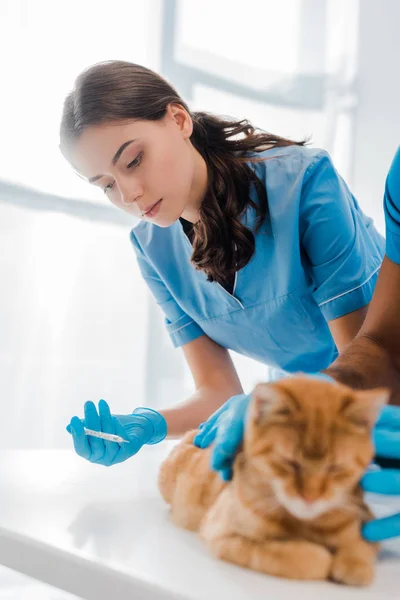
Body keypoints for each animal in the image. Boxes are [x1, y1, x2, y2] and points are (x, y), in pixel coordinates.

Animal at [158, 378, 390, 584]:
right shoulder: (225, 537)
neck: (305, 523)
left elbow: (358, 545)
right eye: (290, 463)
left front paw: (353, 564)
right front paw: (321, 557)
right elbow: (300, 557)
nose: (310, 497)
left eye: (335, 468)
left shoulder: (366, 523)